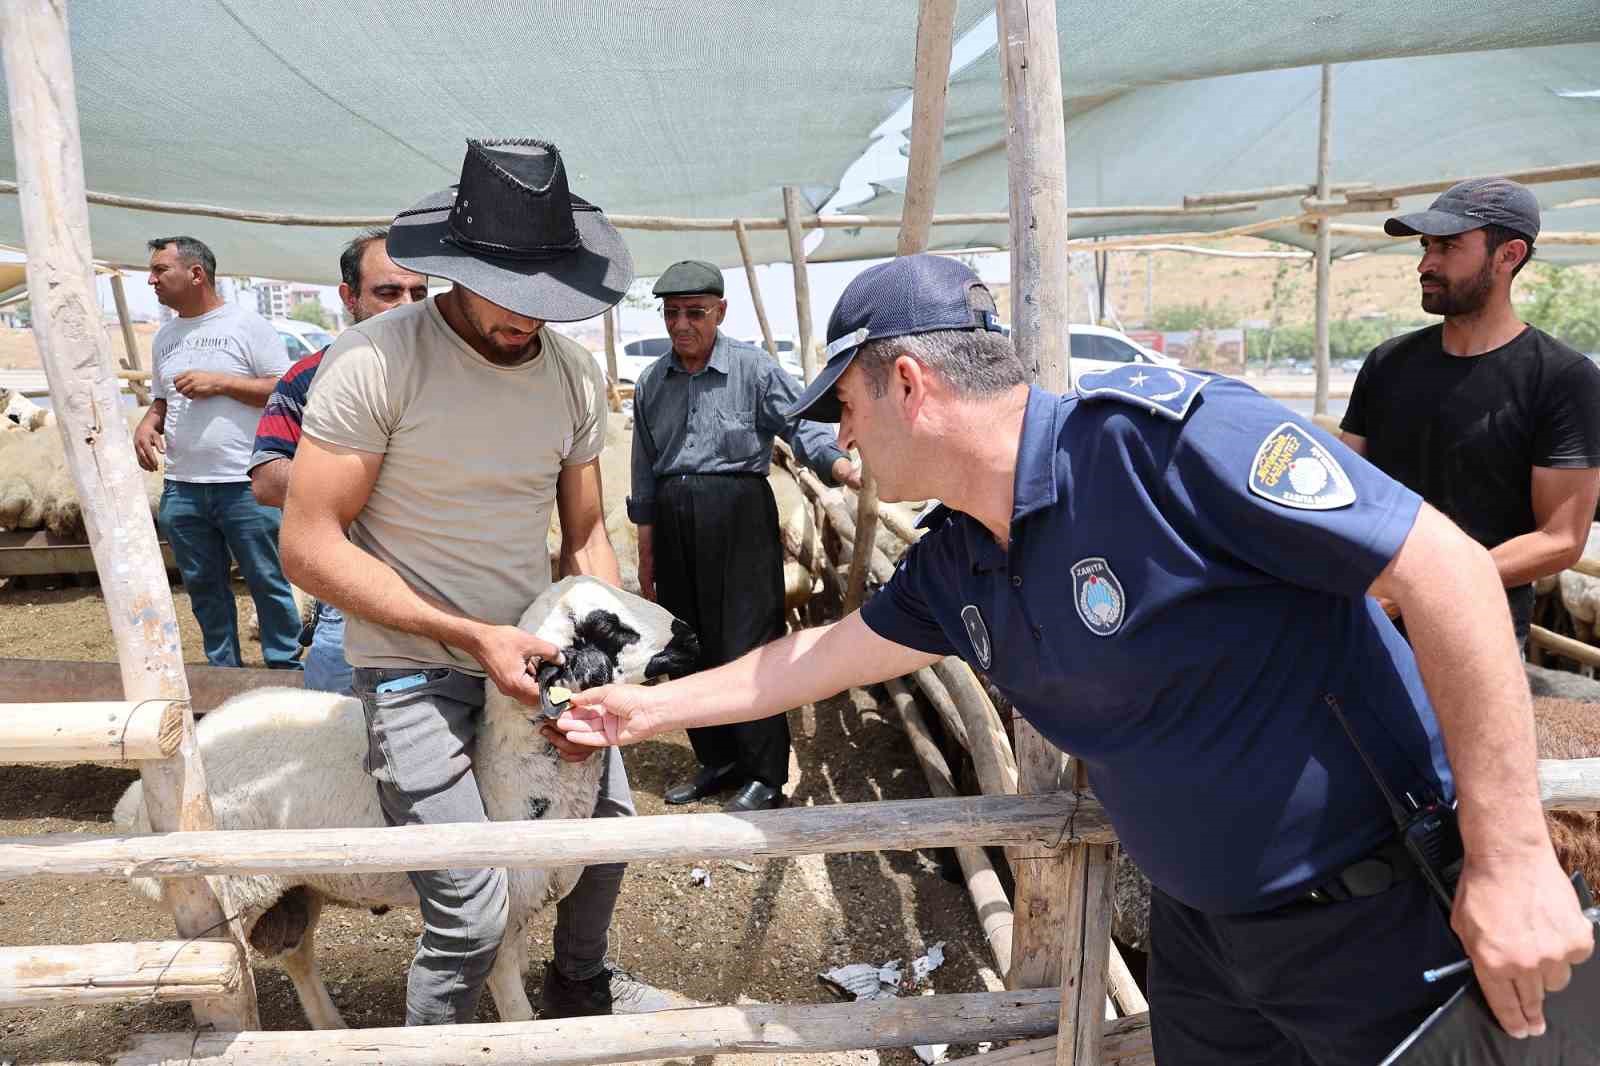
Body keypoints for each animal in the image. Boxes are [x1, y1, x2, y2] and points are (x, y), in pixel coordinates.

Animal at [106, 576, 694, 1024]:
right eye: (607, 627)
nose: (688, 633)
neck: (507, 774)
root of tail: (133, 803)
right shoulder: (503, 921)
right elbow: (516, 1014)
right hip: (226, 898)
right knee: (226, 975)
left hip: (294, 886)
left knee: (297, 954)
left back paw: (331, 1028)